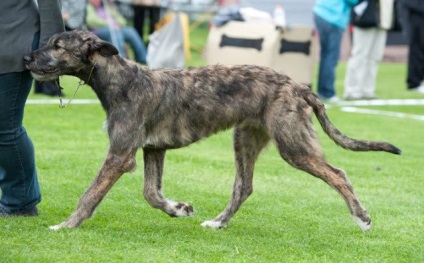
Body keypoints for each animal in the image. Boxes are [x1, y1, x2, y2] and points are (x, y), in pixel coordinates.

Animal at [24, 30, 400, 231]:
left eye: (59, 46)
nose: (27, 58)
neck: (124, 81)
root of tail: (298, 86)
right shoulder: (152, 149)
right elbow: (151, 193)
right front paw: (178, 208)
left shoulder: (120, 155)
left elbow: (90, 194)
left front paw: (66, 225)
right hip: (245, 139)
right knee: (244, 187)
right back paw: (219, 222)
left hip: (293, 145)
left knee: (338, 173)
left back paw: (362, 217)